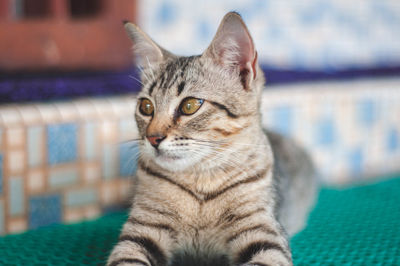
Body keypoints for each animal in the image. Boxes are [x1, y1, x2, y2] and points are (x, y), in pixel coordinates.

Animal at [107, 11, 318, 264]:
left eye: (189, 105)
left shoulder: (262, 233)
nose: (153, 138)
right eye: (146, 106)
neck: (201, 182)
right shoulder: (142, 229)